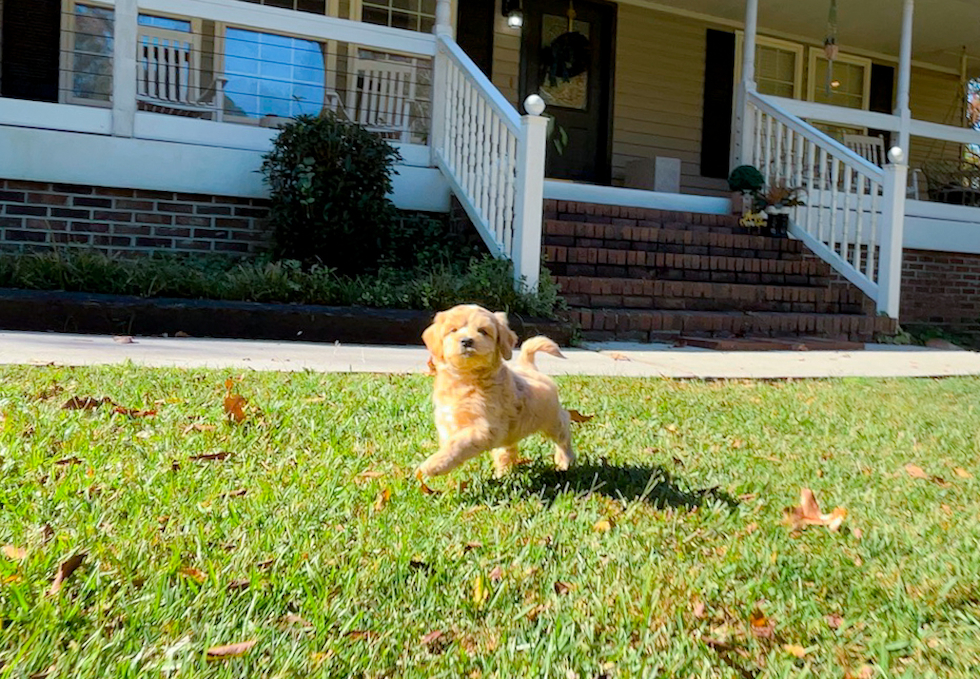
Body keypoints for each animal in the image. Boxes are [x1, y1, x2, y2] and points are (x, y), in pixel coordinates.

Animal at [416, 302, 572, 478]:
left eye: (483, 331)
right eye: (453, 330)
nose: (467, 341)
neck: (466, 379)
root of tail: (529, 367)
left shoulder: (484, 428)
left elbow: (458, 444)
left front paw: (433, 465)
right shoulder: (446, 420)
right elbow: (449, 443)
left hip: (550, 418)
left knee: (563, 429)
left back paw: (565, 460)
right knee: (507, 450)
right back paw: (503, 473)